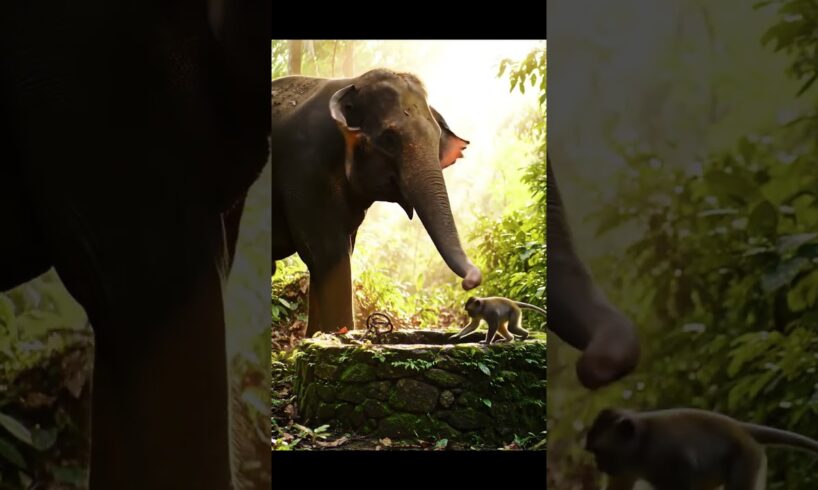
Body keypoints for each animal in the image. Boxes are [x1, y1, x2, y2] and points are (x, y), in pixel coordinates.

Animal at [271, 69, 483, 336]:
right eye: (389, 138)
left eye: (437, 139)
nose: (470, 282)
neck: (351, 82)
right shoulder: (306, 168)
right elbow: (327, 254)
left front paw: (317, 337)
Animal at [585, 406, 818, 490]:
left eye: (598, 452)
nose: (597, 464)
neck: (640, 446)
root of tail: (739, 426)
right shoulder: (625, 469)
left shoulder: (669, 459)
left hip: (746, 456)